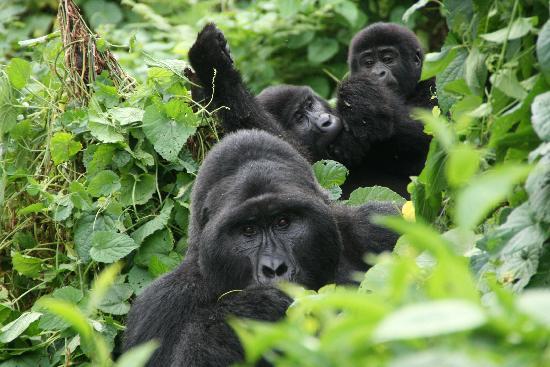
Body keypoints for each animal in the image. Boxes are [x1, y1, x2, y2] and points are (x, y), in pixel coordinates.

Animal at [124, 131, 402, 366]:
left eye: (283, 222)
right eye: (249, 230)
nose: (274, 268)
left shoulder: (380, 227)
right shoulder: (161, 305)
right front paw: (248, 311)